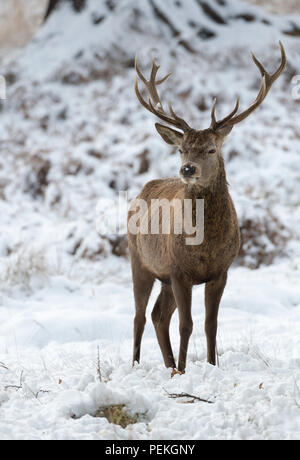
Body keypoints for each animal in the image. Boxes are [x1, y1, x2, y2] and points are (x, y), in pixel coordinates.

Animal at [127, 41, 286, 376]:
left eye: (211, 149)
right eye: (181, 148)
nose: (187, 169)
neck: (206, 245)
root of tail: (141, 191)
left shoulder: (220, 271)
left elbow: (211, 324)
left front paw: (210, 365)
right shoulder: (179, 270)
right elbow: (186, 324)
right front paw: (185, 370)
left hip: (163, 277)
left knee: (159, 315)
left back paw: (169, 365)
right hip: (140, 261)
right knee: (140, 316)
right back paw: (137, 365)